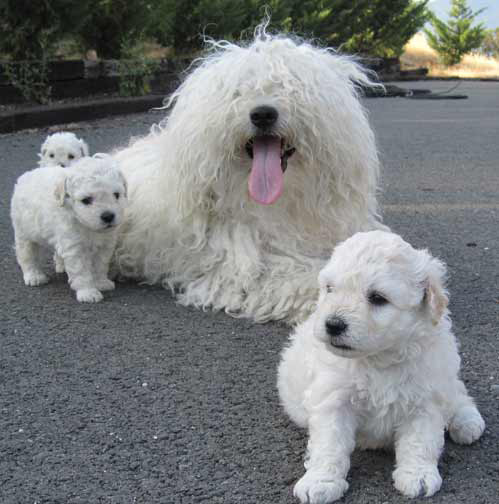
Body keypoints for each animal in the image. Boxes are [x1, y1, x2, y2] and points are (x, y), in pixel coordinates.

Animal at [11, 156, 128, 302]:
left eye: (116, 195)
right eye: (86, 200)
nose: (108, 216)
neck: (86, 226)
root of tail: (28, 175)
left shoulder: (105, 245)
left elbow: (100, 265)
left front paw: (101, 282)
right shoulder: (75, 248)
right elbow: (82, 271)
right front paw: (88, 292)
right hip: (24, 231)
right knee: (27, 254)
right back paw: (34, 276)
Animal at [113, 26, 386, 322]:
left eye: (290, 87)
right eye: (238, 91)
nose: (263, 113)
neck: (280, 205)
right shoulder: (239, 271)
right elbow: (301, 279)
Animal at [278, 231, 484, 504]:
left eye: (377, 298)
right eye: (330, 289)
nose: (332, 324)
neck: (379, 358)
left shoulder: (426, 398)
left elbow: (420, 441)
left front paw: (418, 475)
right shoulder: (333, 399)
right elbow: (329, 444)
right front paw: (320, 481)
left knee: (458, 394)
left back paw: (466, 421)